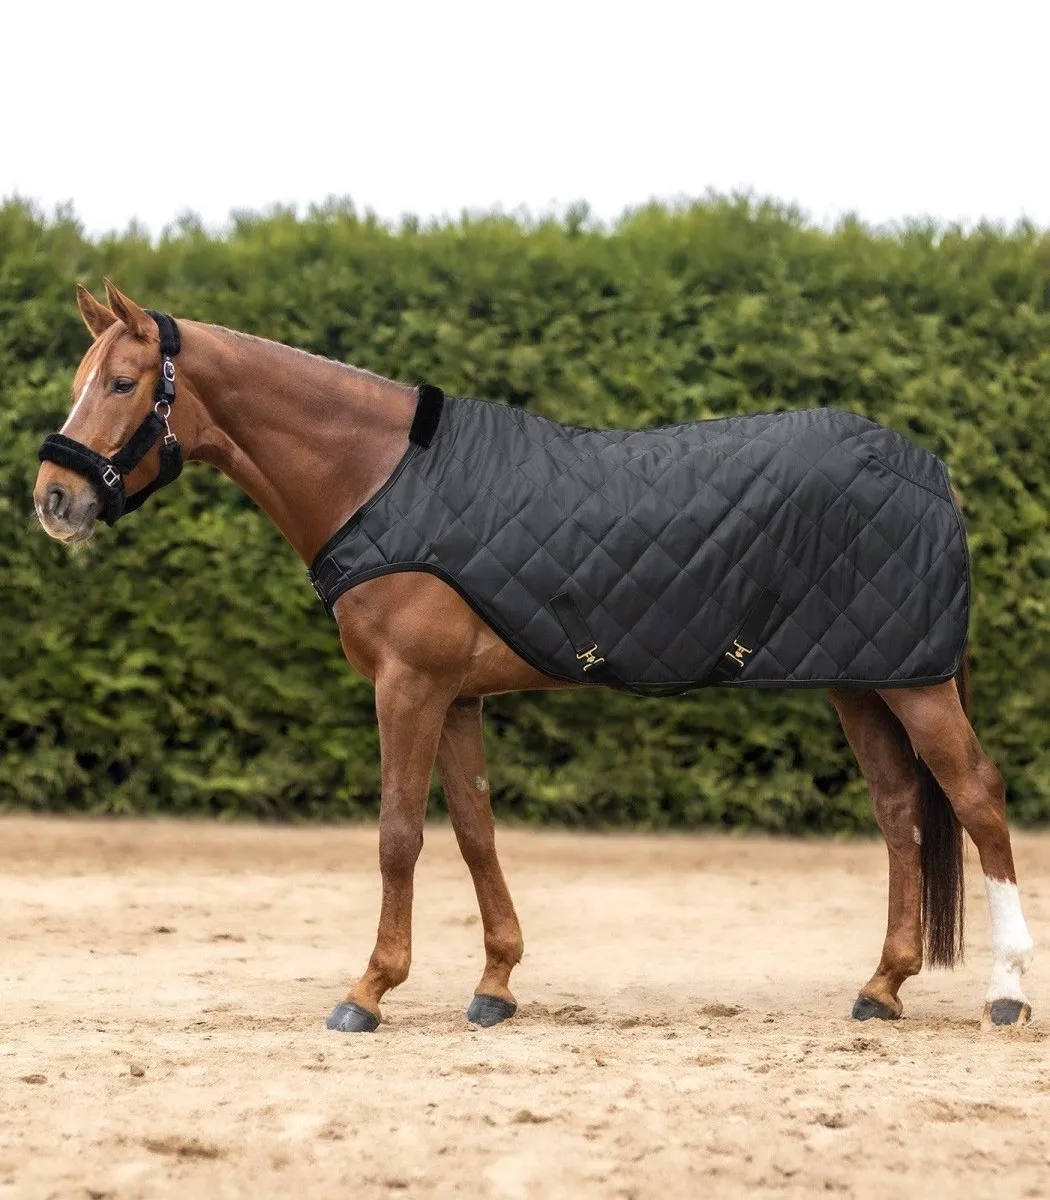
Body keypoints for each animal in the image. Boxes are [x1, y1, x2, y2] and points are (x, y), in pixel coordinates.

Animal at [32, 278, 1036, 1032]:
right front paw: (495, 986)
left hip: (915, 685)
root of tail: (929, 469)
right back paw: (882, 987)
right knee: (901, 811)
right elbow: (475, 830)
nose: (53, 499)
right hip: (864, 680)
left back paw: (1007, 993)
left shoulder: (409, 689)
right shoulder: (457, 697)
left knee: (976, 798)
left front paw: (369, 991)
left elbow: (399, 835)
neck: (379, 479)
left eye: (121, 382)